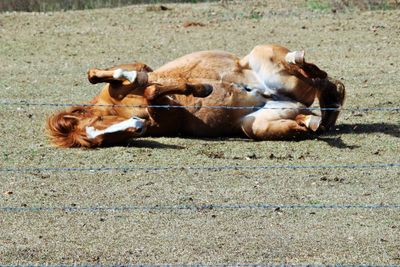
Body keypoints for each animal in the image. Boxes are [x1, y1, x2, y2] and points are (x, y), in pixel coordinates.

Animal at [47, 44, 344, 149]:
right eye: (99, 141)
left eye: (98, 123)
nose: (138, 126)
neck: (116, 109)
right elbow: (153, 92)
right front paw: (199, 89)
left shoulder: (140, 69)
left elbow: (123, 77)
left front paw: (199, 88)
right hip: (256, 125)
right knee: (308, 117)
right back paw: (316, 120)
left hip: (265, 57)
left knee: (320, 76)